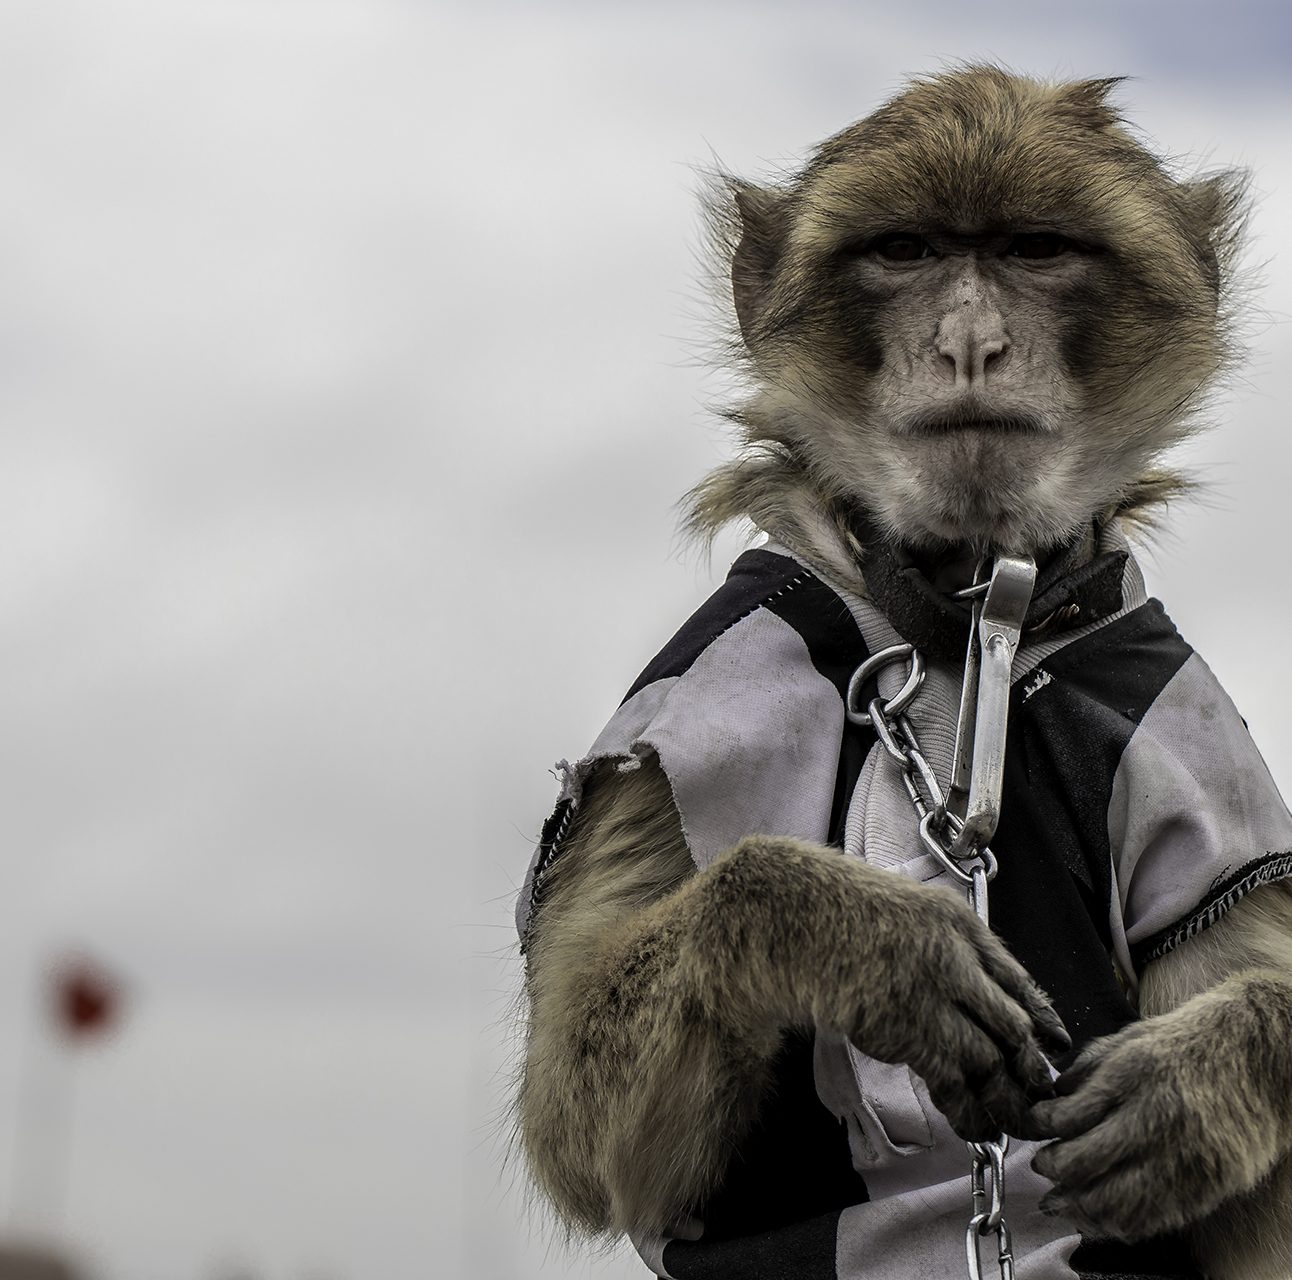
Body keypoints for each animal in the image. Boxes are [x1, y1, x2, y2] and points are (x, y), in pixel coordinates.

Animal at [509, 67, 1286, 1280]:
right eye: (906, 251)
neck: (963, 618)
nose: (969, 344)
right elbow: (587, 1139)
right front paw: (858, 937)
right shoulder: (697, 688)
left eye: (1034, 249)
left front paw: (1199, 1085)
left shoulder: (1170, 719)